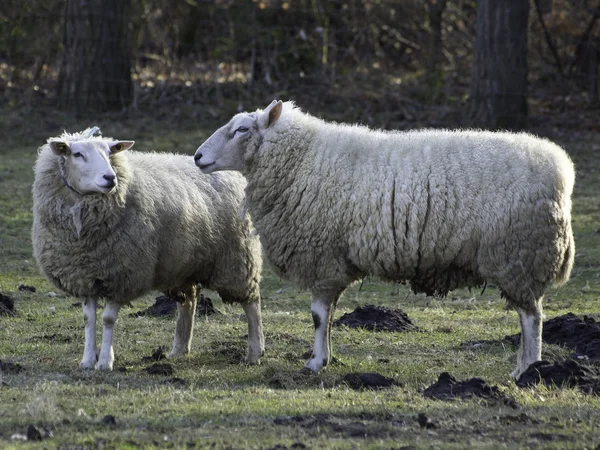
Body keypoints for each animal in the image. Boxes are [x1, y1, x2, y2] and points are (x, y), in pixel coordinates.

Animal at [33, 125, 264, 370]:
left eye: (109, 153)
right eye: (77, 154)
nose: (110, 178)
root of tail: (232, 172)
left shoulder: (122, 274)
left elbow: (107, 319)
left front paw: (104, 362)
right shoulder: (84, 276)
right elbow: (89, 319)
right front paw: (87, 361)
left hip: (237, 258)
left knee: (252, 303)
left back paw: (255, 351)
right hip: (182, 263)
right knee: (189, 301)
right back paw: (179, 349)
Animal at [195, 100, 576, 378]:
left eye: (241, 129)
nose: (197, 156)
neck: (302, 160)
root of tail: (563, 171)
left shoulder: (324, 256)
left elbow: (318, 315)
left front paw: (316, 363)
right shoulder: (333, 260)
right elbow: (327, 318)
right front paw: (326, 357)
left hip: (518, 253)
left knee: (531, 318)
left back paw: (528, 369)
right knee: (529, 315)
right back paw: (525, 366)